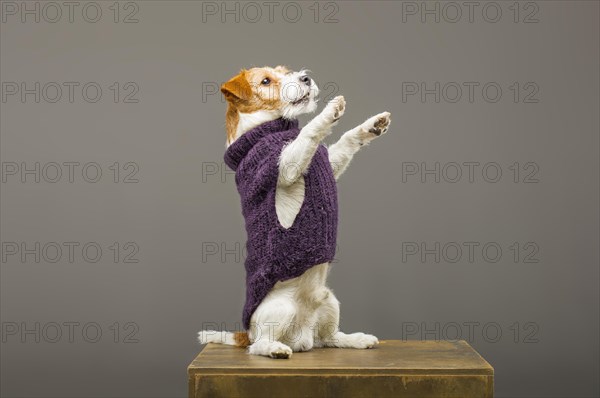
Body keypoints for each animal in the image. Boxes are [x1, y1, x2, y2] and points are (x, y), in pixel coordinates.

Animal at [199, 65, 392, 358]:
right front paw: (328, 113)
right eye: (266, 81)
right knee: (257, 346)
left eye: (285, 71)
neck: (267, 130)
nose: (305, 78)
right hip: (279, 309)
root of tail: (301, 336)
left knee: (330, 338)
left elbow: (344, 142)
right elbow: (308, 134)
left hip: (330, 302)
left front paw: (370, 126)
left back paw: (356, 339)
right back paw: (275, 349)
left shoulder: (327, 163)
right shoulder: (285, 167)